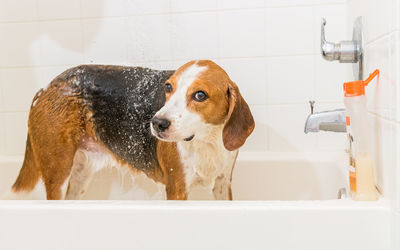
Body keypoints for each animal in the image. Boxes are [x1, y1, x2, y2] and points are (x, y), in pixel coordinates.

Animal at [9, 59, 255, 200]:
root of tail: (47, 87)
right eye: (168, 87)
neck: (206, 140)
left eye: (200, 95)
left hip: (80, 173)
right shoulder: (177, 189)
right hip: (57, 172)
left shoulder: (223, 184)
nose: (156, 123)